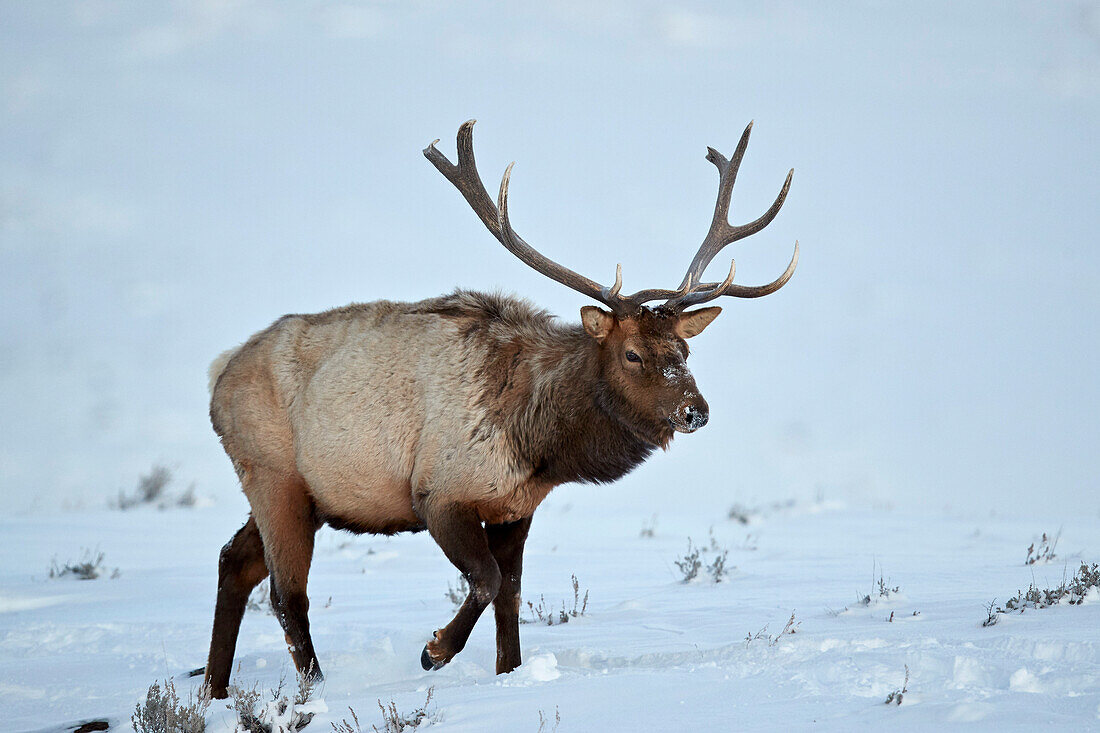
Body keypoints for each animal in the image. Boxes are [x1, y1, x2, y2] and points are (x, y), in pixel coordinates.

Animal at [202, 117, 796, 695]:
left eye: (684, 350)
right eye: (632, 353)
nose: (696, 410)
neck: (539, 445)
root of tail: (219, 374)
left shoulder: (516, 507)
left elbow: (510, 593)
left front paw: (509, 673)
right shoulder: (438, 492)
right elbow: (485, 580)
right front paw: (435, 650)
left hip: (304, 494)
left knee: (235, 561)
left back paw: (214, 689)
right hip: (274, 476)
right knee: (287, 595)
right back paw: (314, 689)